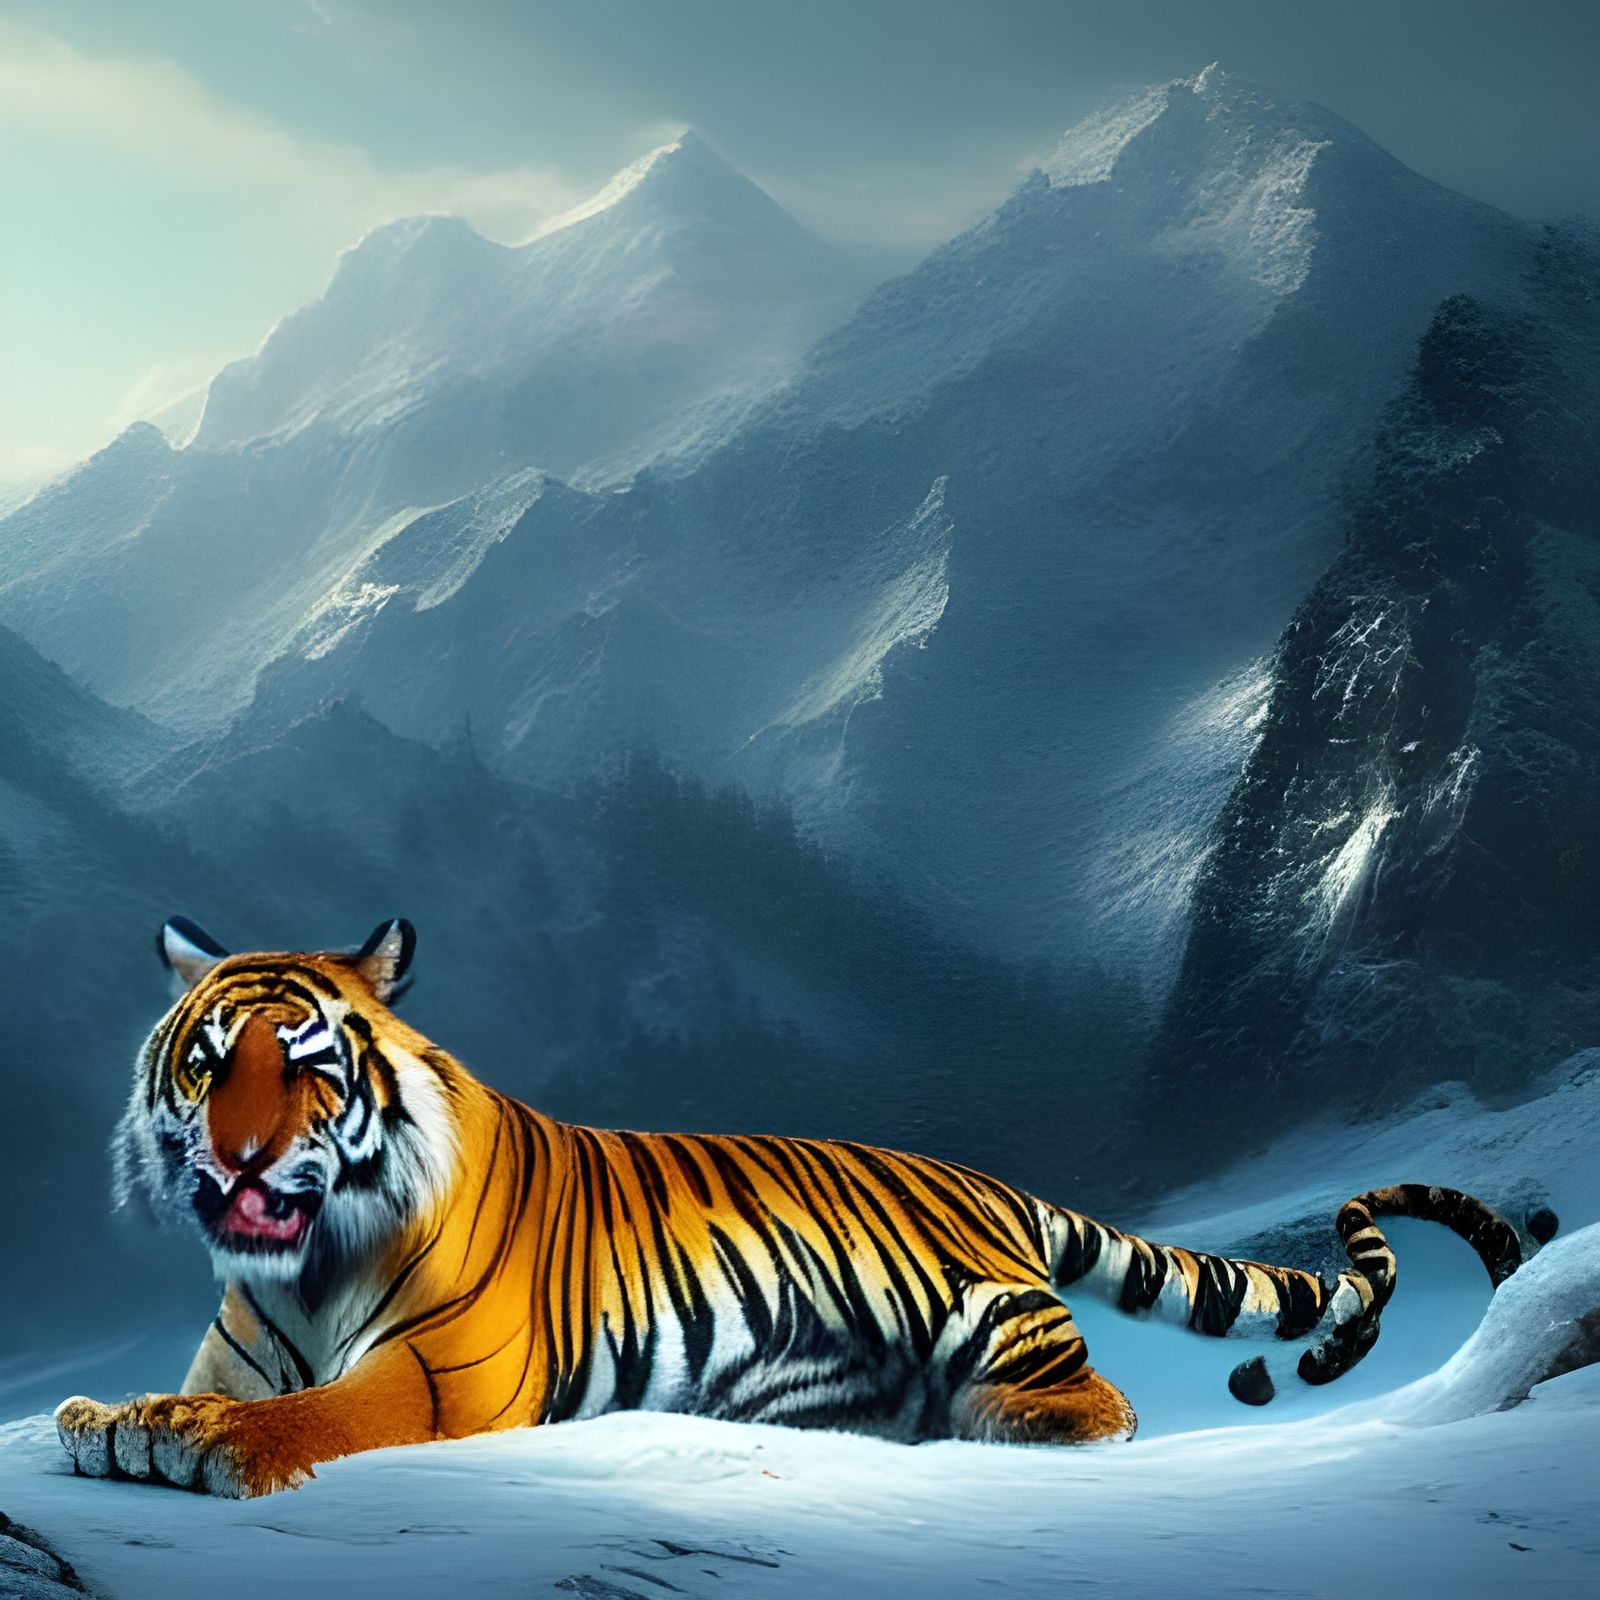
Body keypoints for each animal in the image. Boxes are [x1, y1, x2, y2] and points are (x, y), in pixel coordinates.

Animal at [55, 917, 1555, 1498]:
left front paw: (190, 1442)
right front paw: (106, 1415)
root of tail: (982, 1178)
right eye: (208, 1061)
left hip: (987, 1308)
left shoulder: (446, 1374)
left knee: (1102, 1404)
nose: (243, 1161)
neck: (303, 1264)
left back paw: (1019, 1427)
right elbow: (219, 1389)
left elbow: (315, 1414)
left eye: (308, 1065)